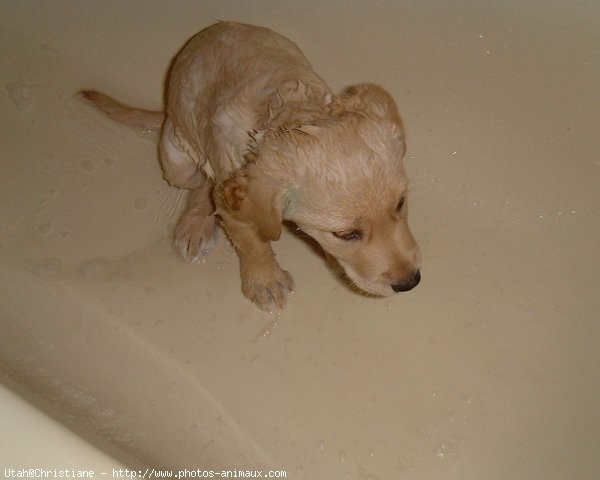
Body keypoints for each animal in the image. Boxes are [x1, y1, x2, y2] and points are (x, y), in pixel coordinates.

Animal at [81, 21, 422, 312]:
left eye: (400, 204)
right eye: (347, 234)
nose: (410, 282)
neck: (288, 112)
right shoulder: (237, 206)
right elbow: (252, 244)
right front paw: (265, 282)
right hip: (177, 161)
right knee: (200, 184)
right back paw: (195, 224)